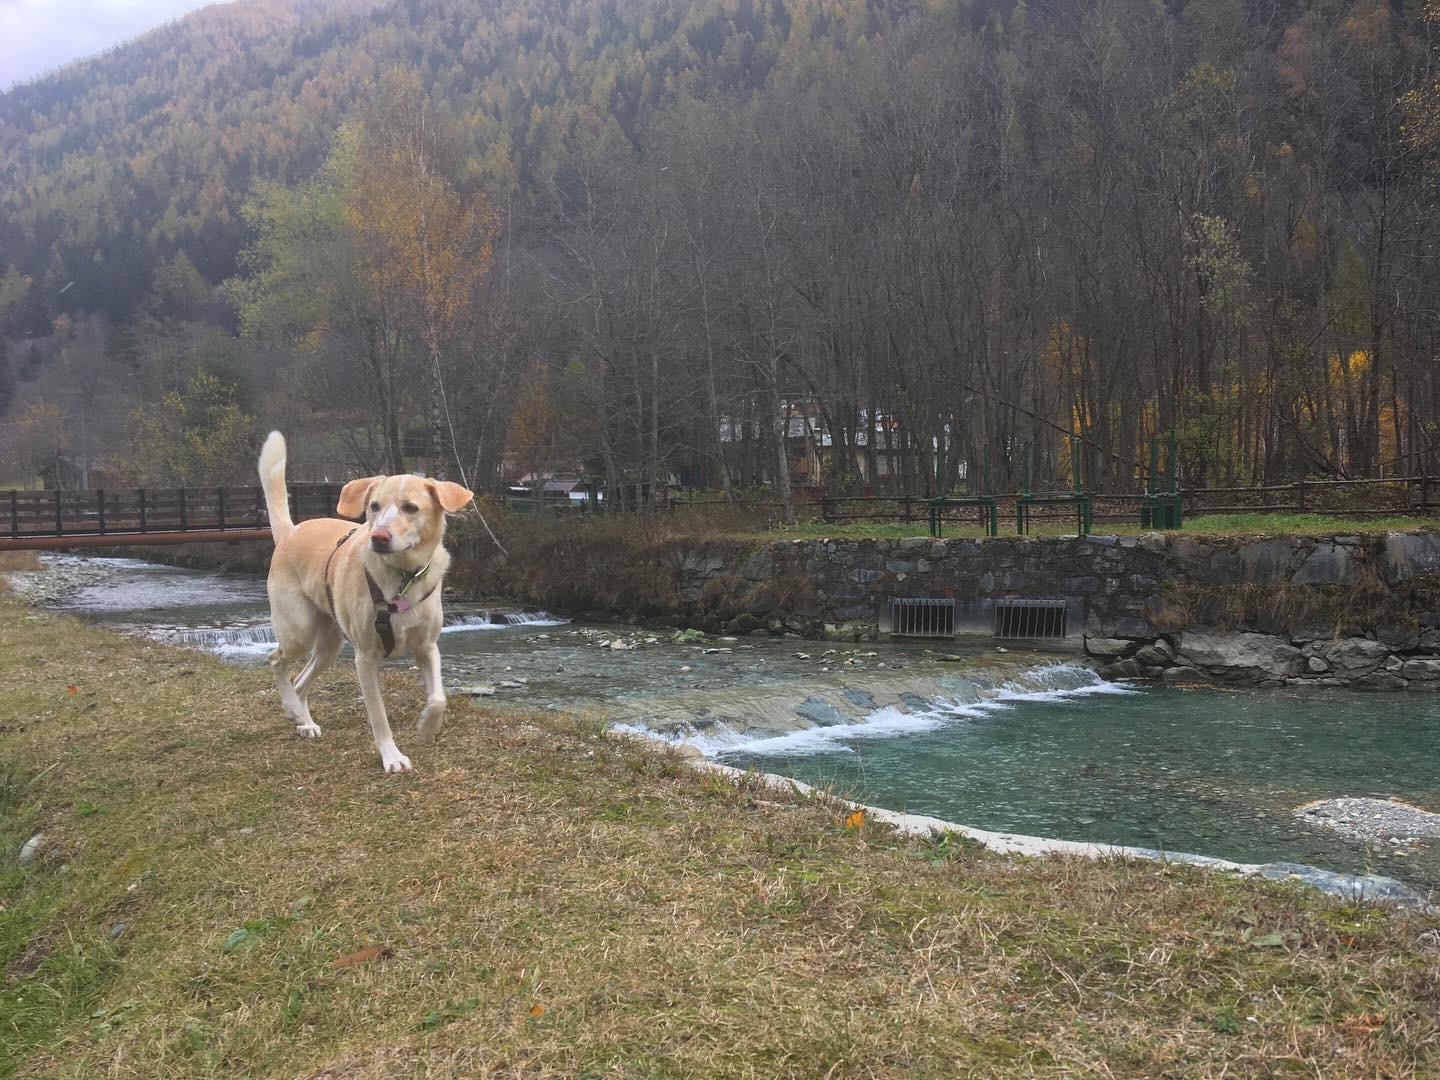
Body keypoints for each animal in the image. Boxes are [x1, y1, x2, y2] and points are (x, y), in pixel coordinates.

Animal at [256, 434, 475, 777]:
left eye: (410, 508)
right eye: (374, 506)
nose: (379, 537)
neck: (401, 579)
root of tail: (292, 531)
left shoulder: (427, 647)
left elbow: (438, 698)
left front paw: (427, 727)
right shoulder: (366, 659)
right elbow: (379, 716)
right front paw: (391, 756)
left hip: (329, 645)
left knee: (300, 681)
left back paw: (303, 721)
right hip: (298, 631)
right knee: (277, 661)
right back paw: (292, 709)